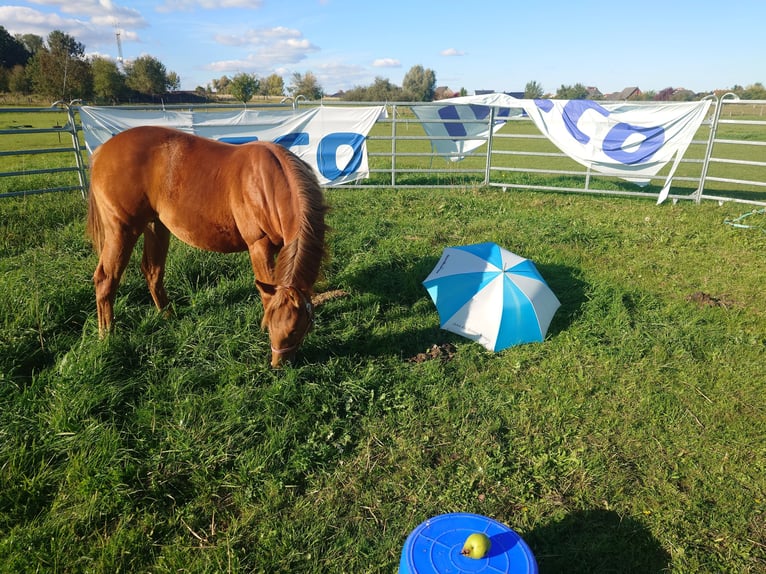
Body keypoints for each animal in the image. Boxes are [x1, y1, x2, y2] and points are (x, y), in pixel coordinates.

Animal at [86, 125, 328, 367]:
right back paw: (107, 335)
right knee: (106, 279)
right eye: (269, 324)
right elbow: (267, 295)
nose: (279, 365)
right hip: (122, 231)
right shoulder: (259, 247)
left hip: (156, 226)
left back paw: (168, 316)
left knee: (152, 272)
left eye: (297, 329)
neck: (267, 183)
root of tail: (101, 151)